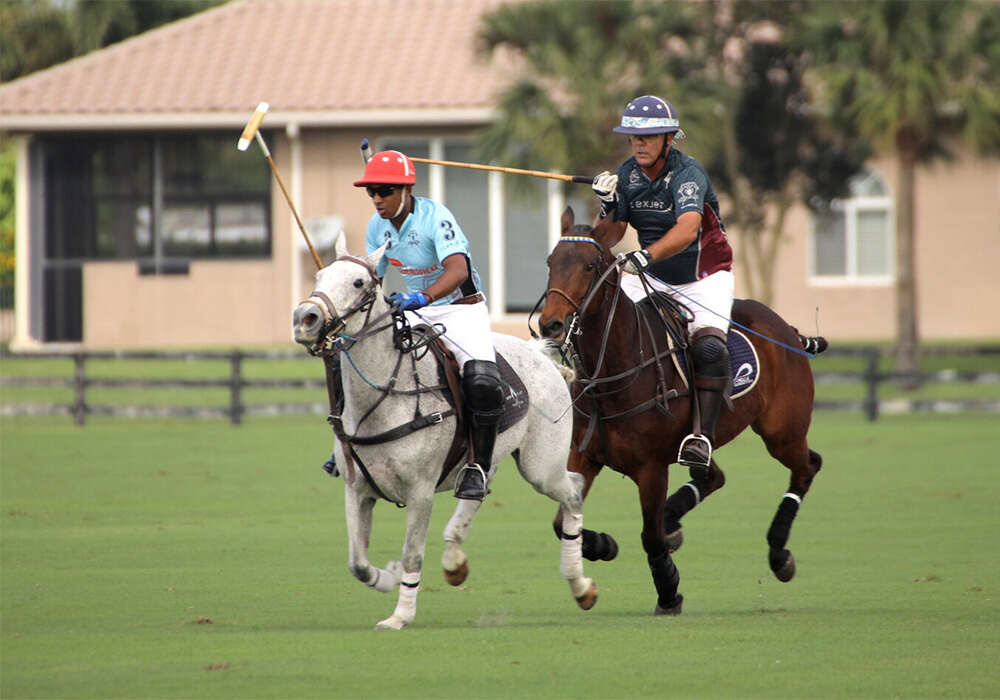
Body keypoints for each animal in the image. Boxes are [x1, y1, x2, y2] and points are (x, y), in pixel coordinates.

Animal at [292, 238, 596, 632]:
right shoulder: (356, 490)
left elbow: (412, 555)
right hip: (493, 457)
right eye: (319, 276)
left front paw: (400, 615)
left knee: (573, 490)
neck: (386, 397)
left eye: (359, 282)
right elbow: (357, 563)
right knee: (481, 488)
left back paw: (580, 585)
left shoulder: (420, 492)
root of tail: (538, 353)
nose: (305, 319)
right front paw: (387, 576)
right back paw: (455, 559)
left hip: (540, 465)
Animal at [540, 208, 828, 612]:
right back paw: (674, 522)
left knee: (807, 466)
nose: (549, 323)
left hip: (782, 431)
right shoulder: (584, 457)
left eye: (589, 265)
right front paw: (605, 545)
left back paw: (779, 554)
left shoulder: (651, 468)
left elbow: (649, 537)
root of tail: (787, 328)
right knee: (712, 475)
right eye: (551, 262)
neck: (617, 370)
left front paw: (669, 592)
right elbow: (559, 523)